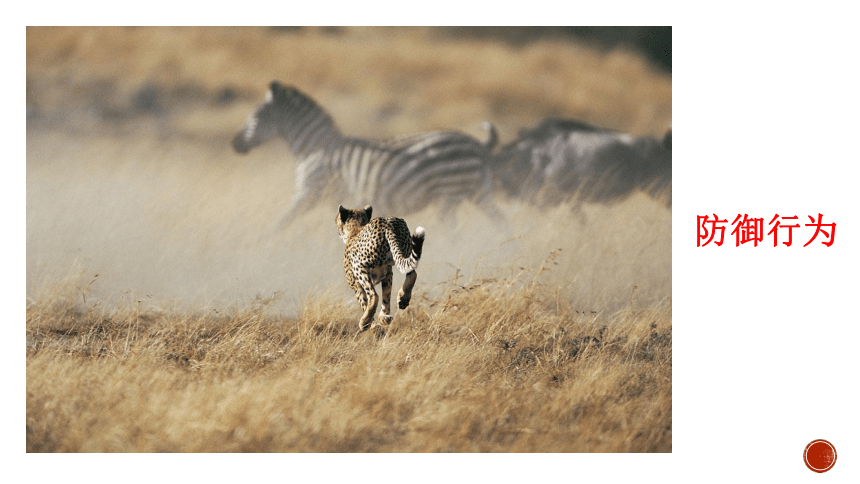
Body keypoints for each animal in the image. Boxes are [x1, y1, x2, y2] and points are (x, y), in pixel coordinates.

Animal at [232, 81, 500, 229]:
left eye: (256, 116)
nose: (234, 144)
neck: (314, 148)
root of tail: (478, 144)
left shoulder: (309, 193)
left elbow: (279, 224)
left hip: (449, 196)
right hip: (479, 193)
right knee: (501, 224)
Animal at [338, 204, 428, 332]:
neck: (356, 228)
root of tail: (386, 223)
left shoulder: (356, 285)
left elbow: (364, 301)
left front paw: (371, 323)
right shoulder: (387, 274)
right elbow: (386, 295)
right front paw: (384, 318)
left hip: (359, 265)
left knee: (374, 295)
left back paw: (363, 322)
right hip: (403, 252)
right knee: (412, 273)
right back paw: (403, 298)